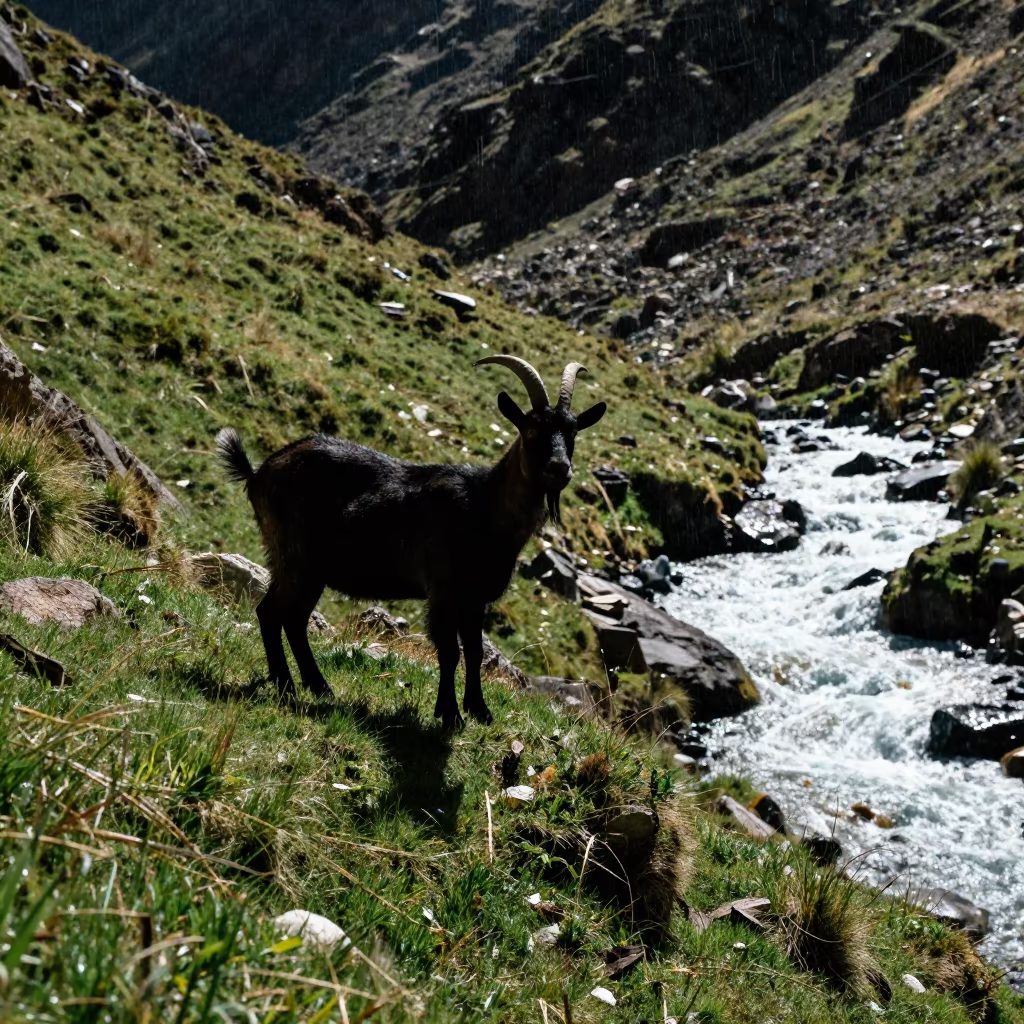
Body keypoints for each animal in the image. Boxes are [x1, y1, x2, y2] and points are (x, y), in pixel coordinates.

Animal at [216, 355, 606, 728]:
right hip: (295, 557)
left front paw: (480, 710)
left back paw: (317, 686)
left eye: (573, 430)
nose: (560, 468)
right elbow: (450, 651)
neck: (484, 506)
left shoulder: (475, 598)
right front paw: (450, 714)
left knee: (292, 618)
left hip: (305, 567)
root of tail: (258, 473)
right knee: (273, 612)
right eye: (531, 428)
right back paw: (287, 684)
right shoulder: (444, 589)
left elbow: (475, 651)